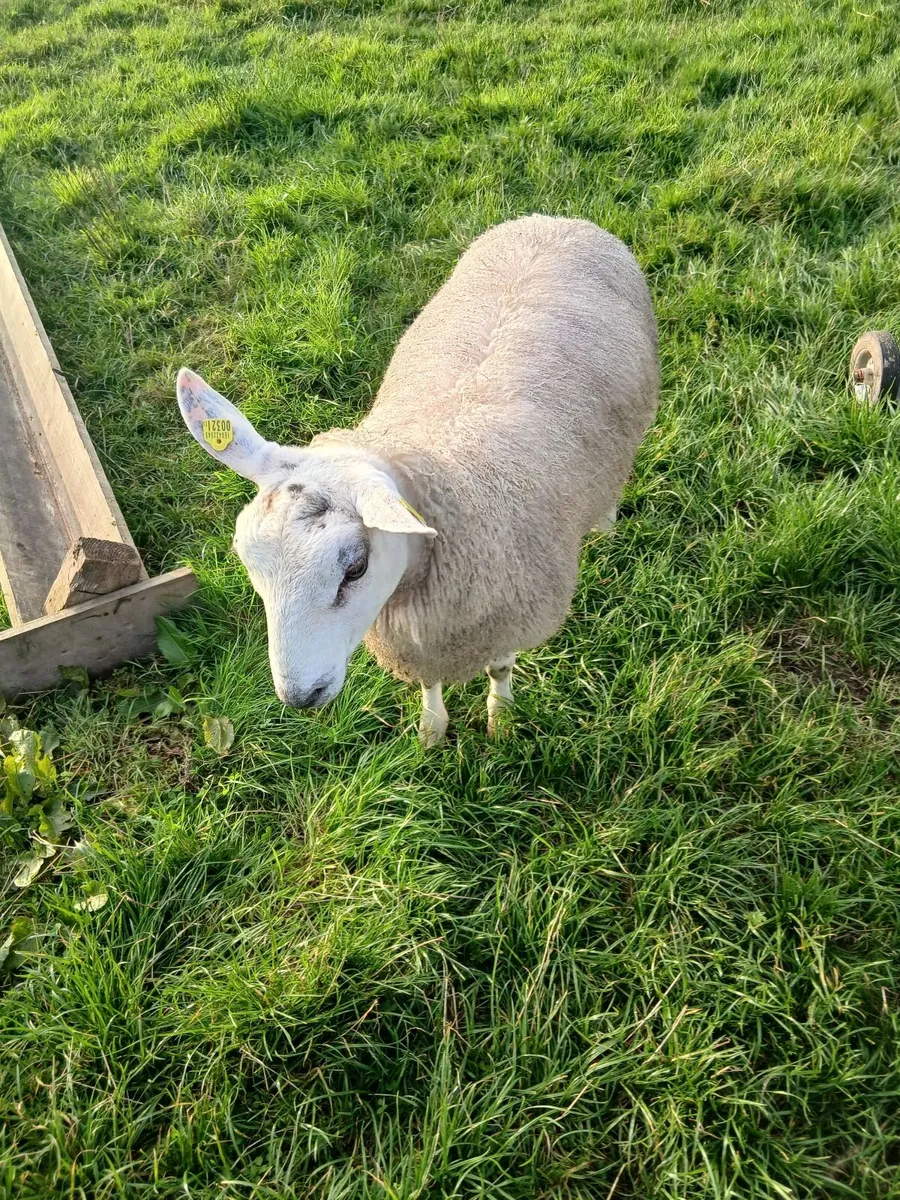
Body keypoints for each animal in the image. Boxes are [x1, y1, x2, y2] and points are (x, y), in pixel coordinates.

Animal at [176, 213, 659, 744]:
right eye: (248, 563)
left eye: (355, 569)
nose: (300, 697)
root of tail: (556, 221)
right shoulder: (419, 638)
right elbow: (429, 683)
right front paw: (431, 729)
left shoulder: (506, 614)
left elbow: (500, 671)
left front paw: (502, 718)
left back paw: (606, 526)